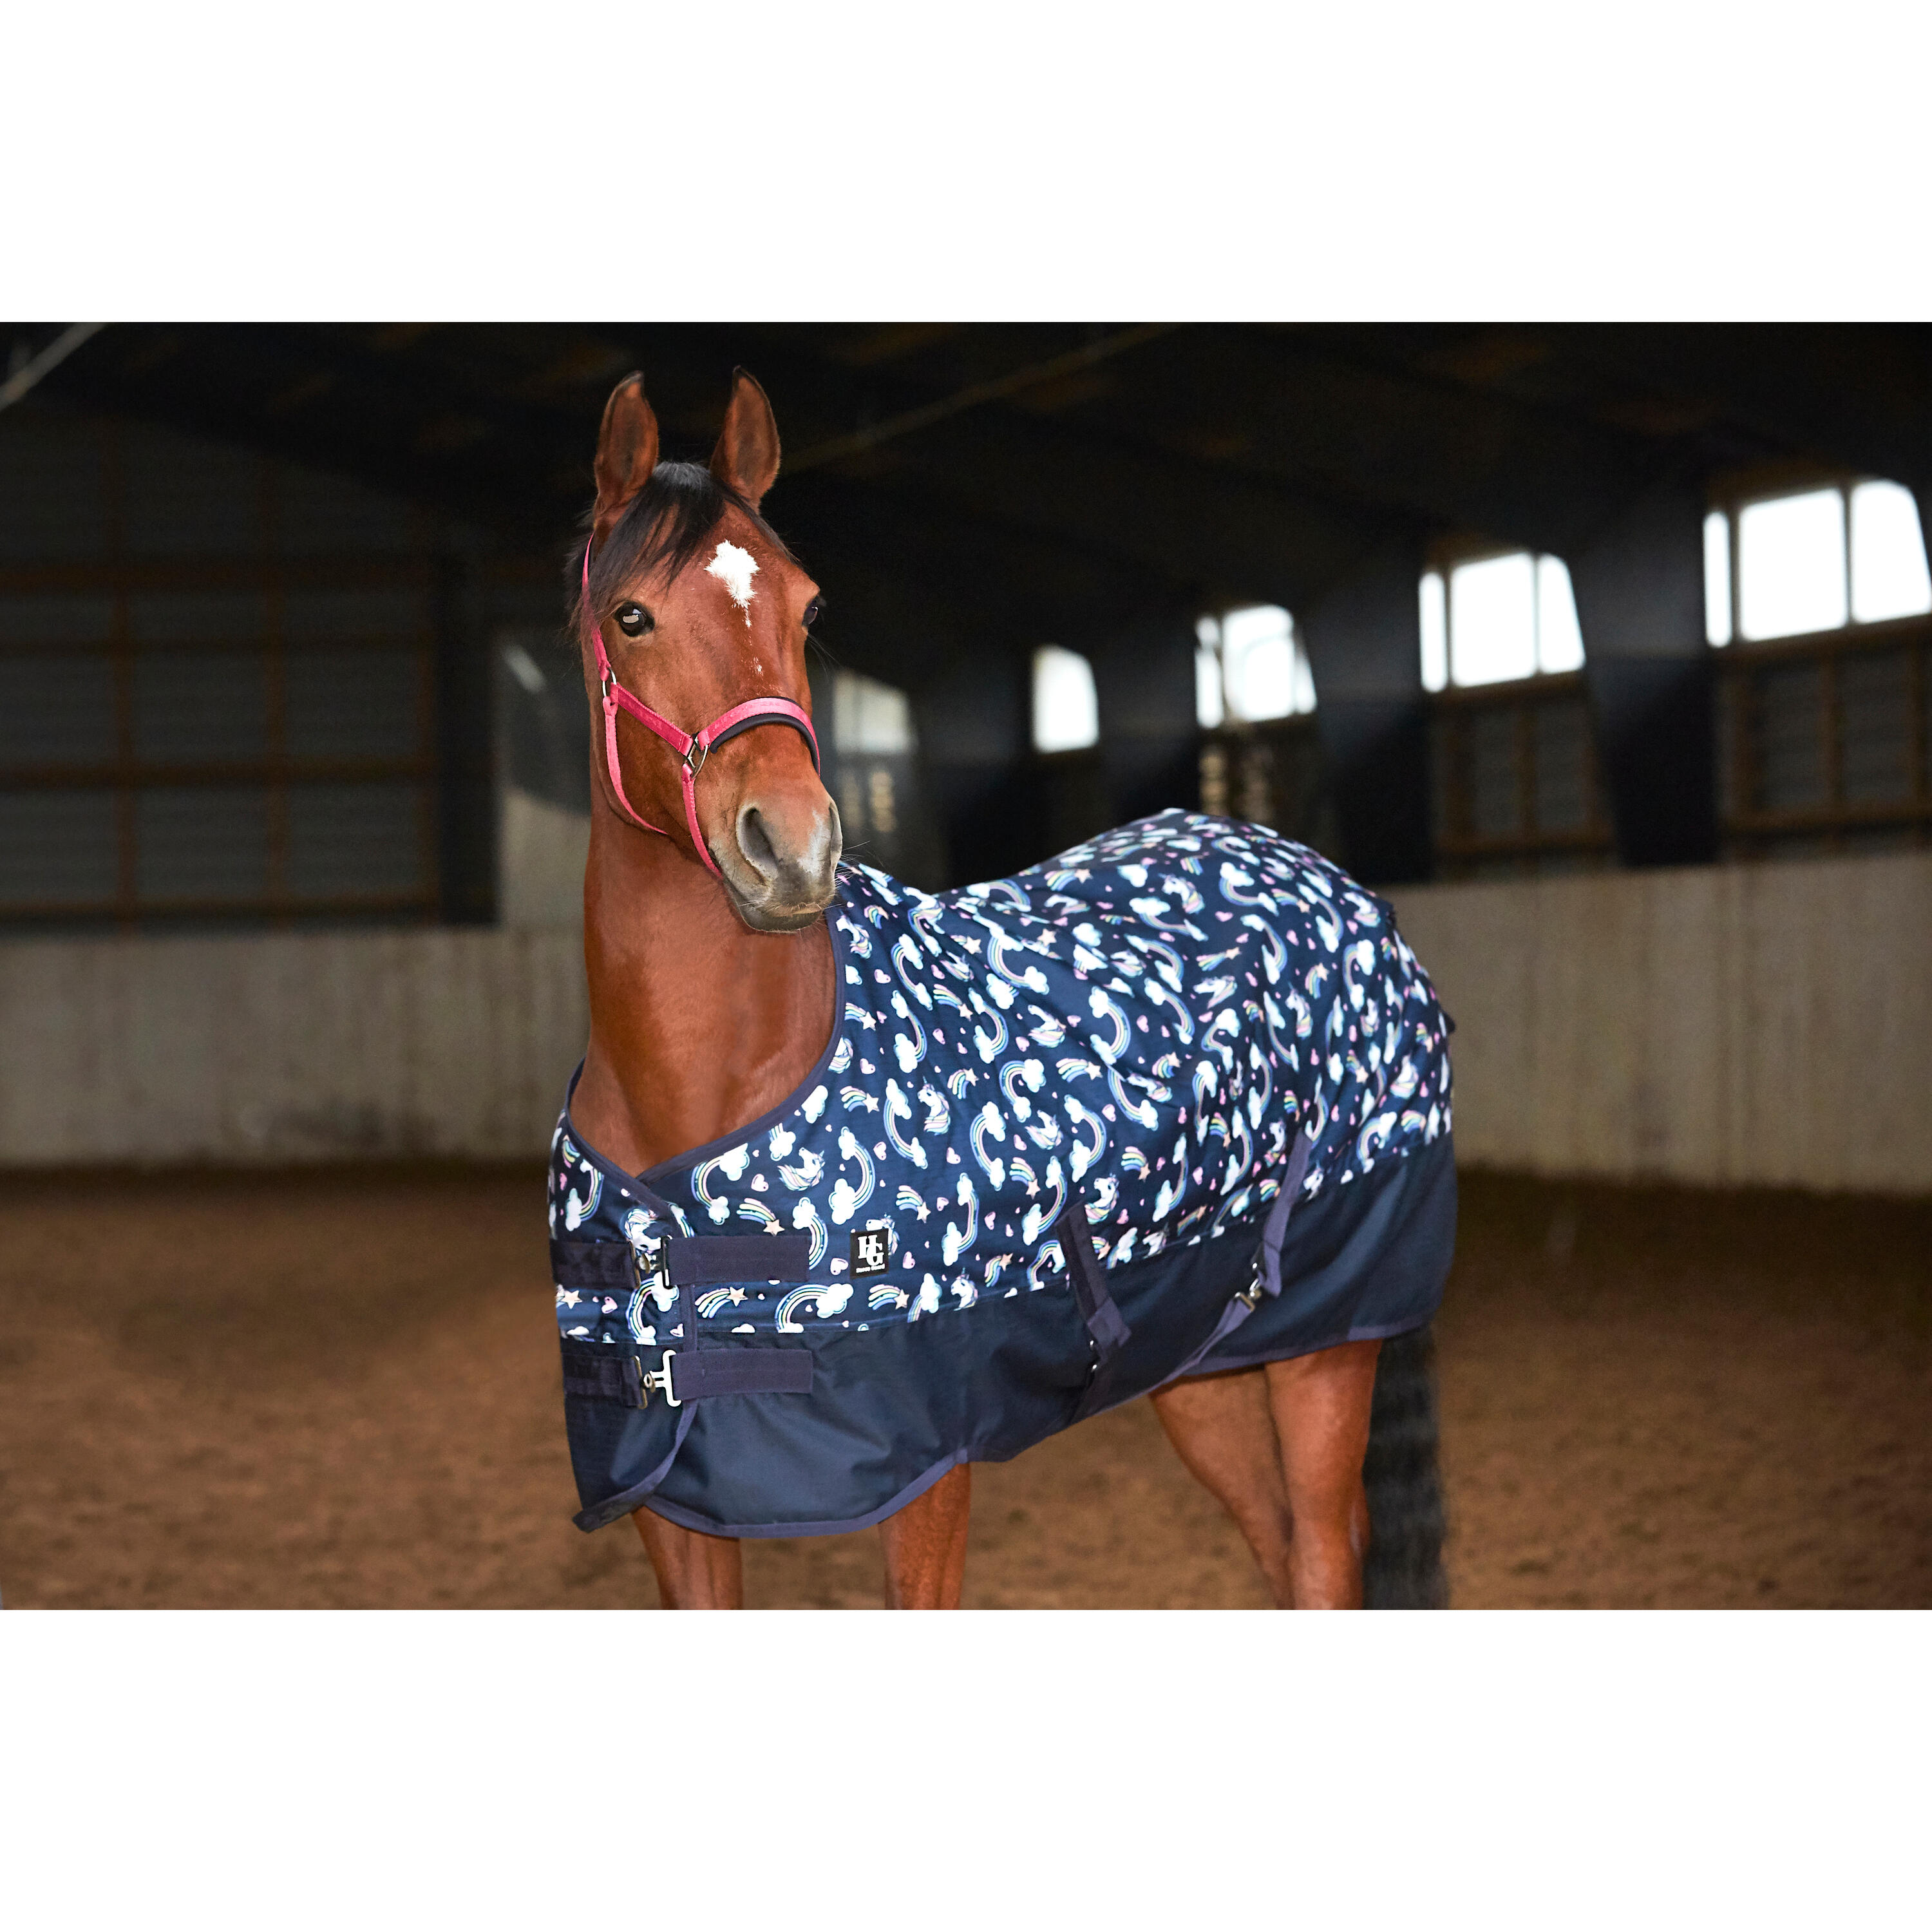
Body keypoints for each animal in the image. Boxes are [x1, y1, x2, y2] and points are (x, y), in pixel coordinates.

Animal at [550, 367, 1455, 1609]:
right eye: (632, 616)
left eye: (806, 610)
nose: (793, 847)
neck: (708, 1101)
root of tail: (1323, 877)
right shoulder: (671, 1508)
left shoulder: (930, 1478)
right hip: (1204, 1368)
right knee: (1278, 1549)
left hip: (1327, 1351)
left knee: (1324, 1555)